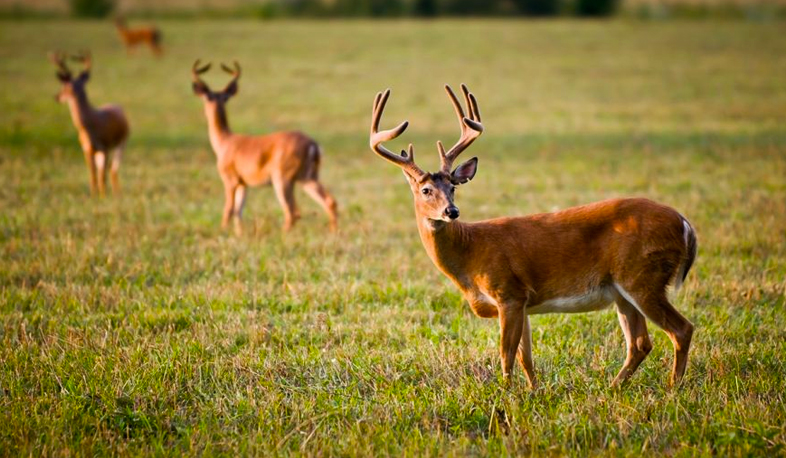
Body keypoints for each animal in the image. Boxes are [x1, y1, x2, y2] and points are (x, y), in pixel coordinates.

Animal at [50, 51, 129, 197]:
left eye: (65, 87)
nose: (57, 97)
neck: (88, 126)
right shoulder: (87, 150)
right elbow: (93, 175)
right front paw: (94, 195)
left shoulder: (105, 147)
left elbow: (102, 176)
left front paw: (103, 197)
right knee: (105, 170)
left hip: (121, 144)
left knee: (113, 169)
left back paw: (116, 192)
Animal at [192, 59, 336, 234]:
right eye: (209, 97)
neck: (224, 142)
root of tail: (313, 145)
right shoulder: (243, 183)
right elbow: (238, 211)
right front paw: (239, 234)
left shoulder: (230, 179)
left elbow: (229, 210)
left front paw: (224, 232)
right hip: (307, 176)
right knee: (329, 201)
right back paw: (334, 232)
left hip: (282, 177)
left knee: (292, 211)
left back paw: (283, 235)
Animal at [370, 84, 696, 388]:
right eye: (426, 190)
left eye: (453, 187)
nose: (451, 211)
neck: (470, 252)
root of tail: (685, 223)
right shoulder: (523, 302)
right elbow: (525, 357)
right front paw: (533, 392)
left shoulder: (508, 292)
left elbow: (506, 355)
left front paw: (505, 394)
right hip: (622, 290)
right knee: (640, 343)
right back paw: (614, 387)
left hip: (643, 277)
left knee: (681, 329)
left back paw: (672, 389)